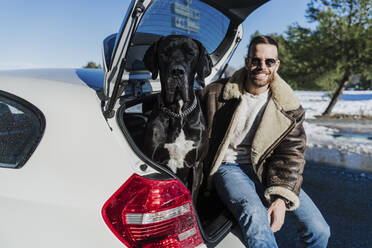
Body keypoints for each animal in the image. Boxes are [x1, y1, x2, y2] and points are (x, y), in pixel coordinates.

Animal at [143, 34, 212, 192]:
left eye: (191, 54)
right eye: (164, 53)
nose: (177, 72)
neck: (178, 113)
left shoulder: (197, 165)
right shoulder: (153, 158)